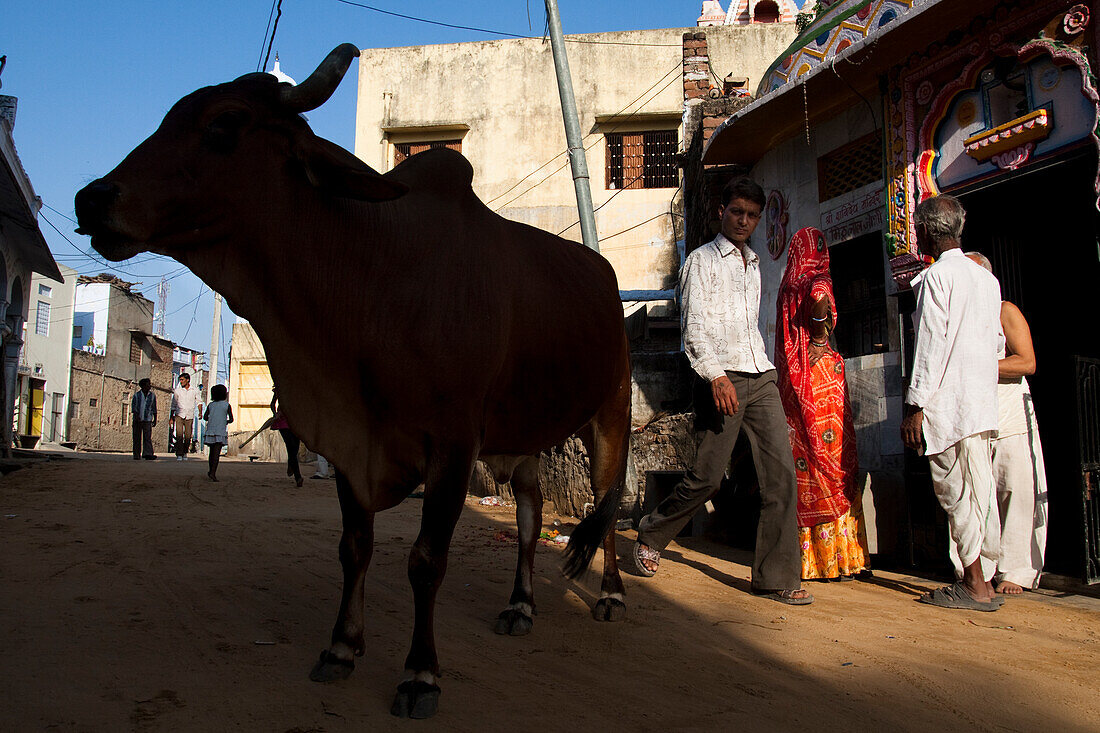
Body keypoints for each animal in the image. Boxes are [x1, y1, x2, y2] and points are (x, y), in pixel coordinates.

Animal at [75, 44, 629, 713]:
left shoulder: (453, 443)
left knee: (609, 499)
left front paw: (420, 673)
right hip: (522, 435)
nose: (91, 199)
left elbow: (426, 560)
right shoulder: (350, 440)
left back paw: (611, 595)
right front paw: (341, 646)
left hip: (611, 411)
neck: (376, 275)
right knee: (529, 510)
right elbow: (353, 547)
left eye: (225, 122)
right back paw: (520, 605)